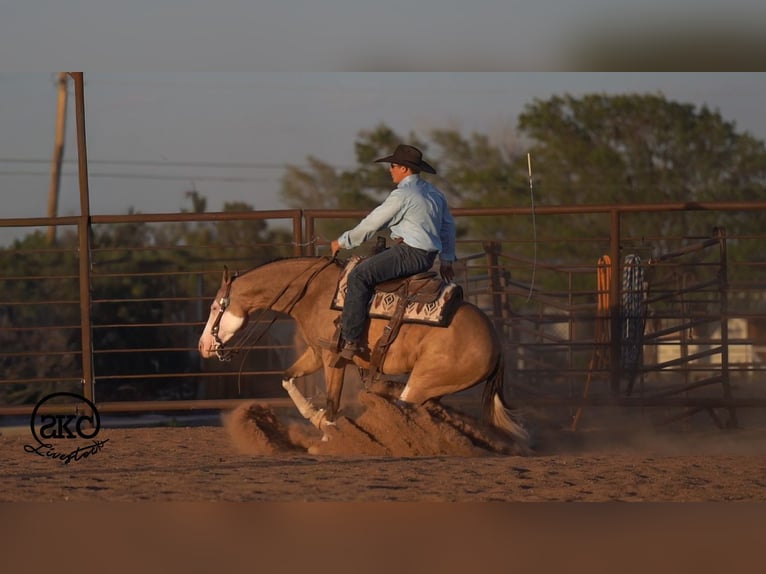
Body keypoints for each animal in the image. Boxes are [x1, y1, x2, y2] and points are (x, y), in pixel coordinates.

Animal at [197, 256, 529, 450]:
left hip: (423, 382)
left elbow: (332, 401)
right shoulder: (316, 352)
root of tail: (497, 345)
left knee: (406, 409)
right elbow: (287, 378)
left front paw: (329, 433)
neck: (315, 293)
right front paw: (317, 420)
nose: (202, 346)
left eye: (214, 307)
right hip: (434, 388)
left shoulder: (332, 359)